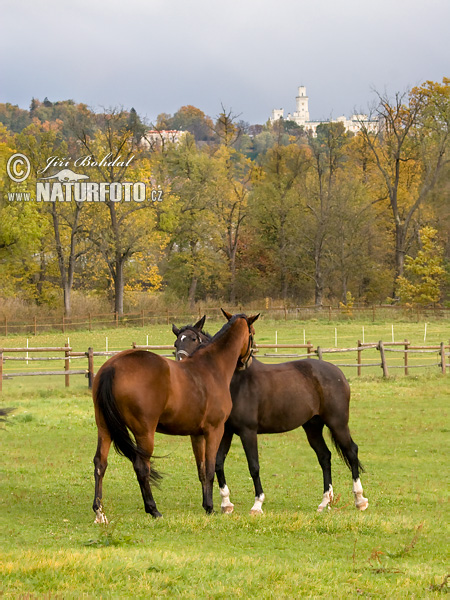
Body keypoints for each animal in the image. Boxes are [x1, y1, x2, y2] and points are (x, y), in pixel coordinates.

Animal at [92, 314, 258, 520]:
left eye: (193, 339)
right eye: (252, 333)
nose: (247, 362)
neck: (211, 367)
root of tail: (112, 366)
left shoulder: (197, 434)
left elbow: (201, 470)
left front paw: (206, 505)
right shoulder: (214, 430)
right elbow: (211, 468)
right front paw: (211, 507)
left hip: (104, 428)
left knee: (100, 464)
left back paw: (99, 512)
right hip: (144, 433)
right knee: (141, 467)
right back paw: (153, 509)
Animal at [173, 312, 370, 512]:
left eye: (194, 339)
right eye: (176, 343)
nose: (182, 367)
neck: (234, 380)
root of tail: (338, 373)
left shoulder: (248, 431)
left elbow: (253, 466)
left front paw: (257, 504)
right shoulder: (225, 431)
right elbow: (218, 463)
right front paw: (226, 504)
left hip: (337, 423)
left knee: (352, 452)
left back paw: (360, 500)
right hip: (312, 427)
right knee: (324, 456)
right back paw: (324, 502)